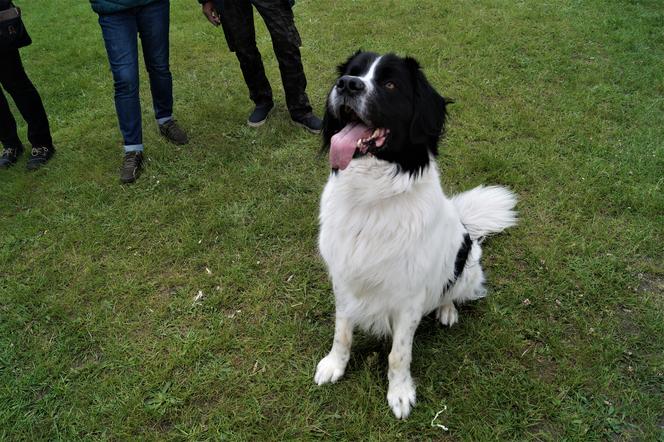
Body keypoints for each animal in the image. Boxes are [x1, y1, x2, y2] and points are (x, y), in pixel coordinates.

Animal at [314, 51, 516, 418]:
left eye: (390, 84)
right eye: (352, 73)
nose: (347, 85)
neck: (371, 196)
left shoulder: (408, 297)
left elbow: (399, 353)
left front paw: (400, 393)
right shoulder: (344, 278)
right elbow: (342, 331)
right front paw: (334, 365)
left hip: (466, 263)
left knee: (452, 290)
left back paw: (448, 311)